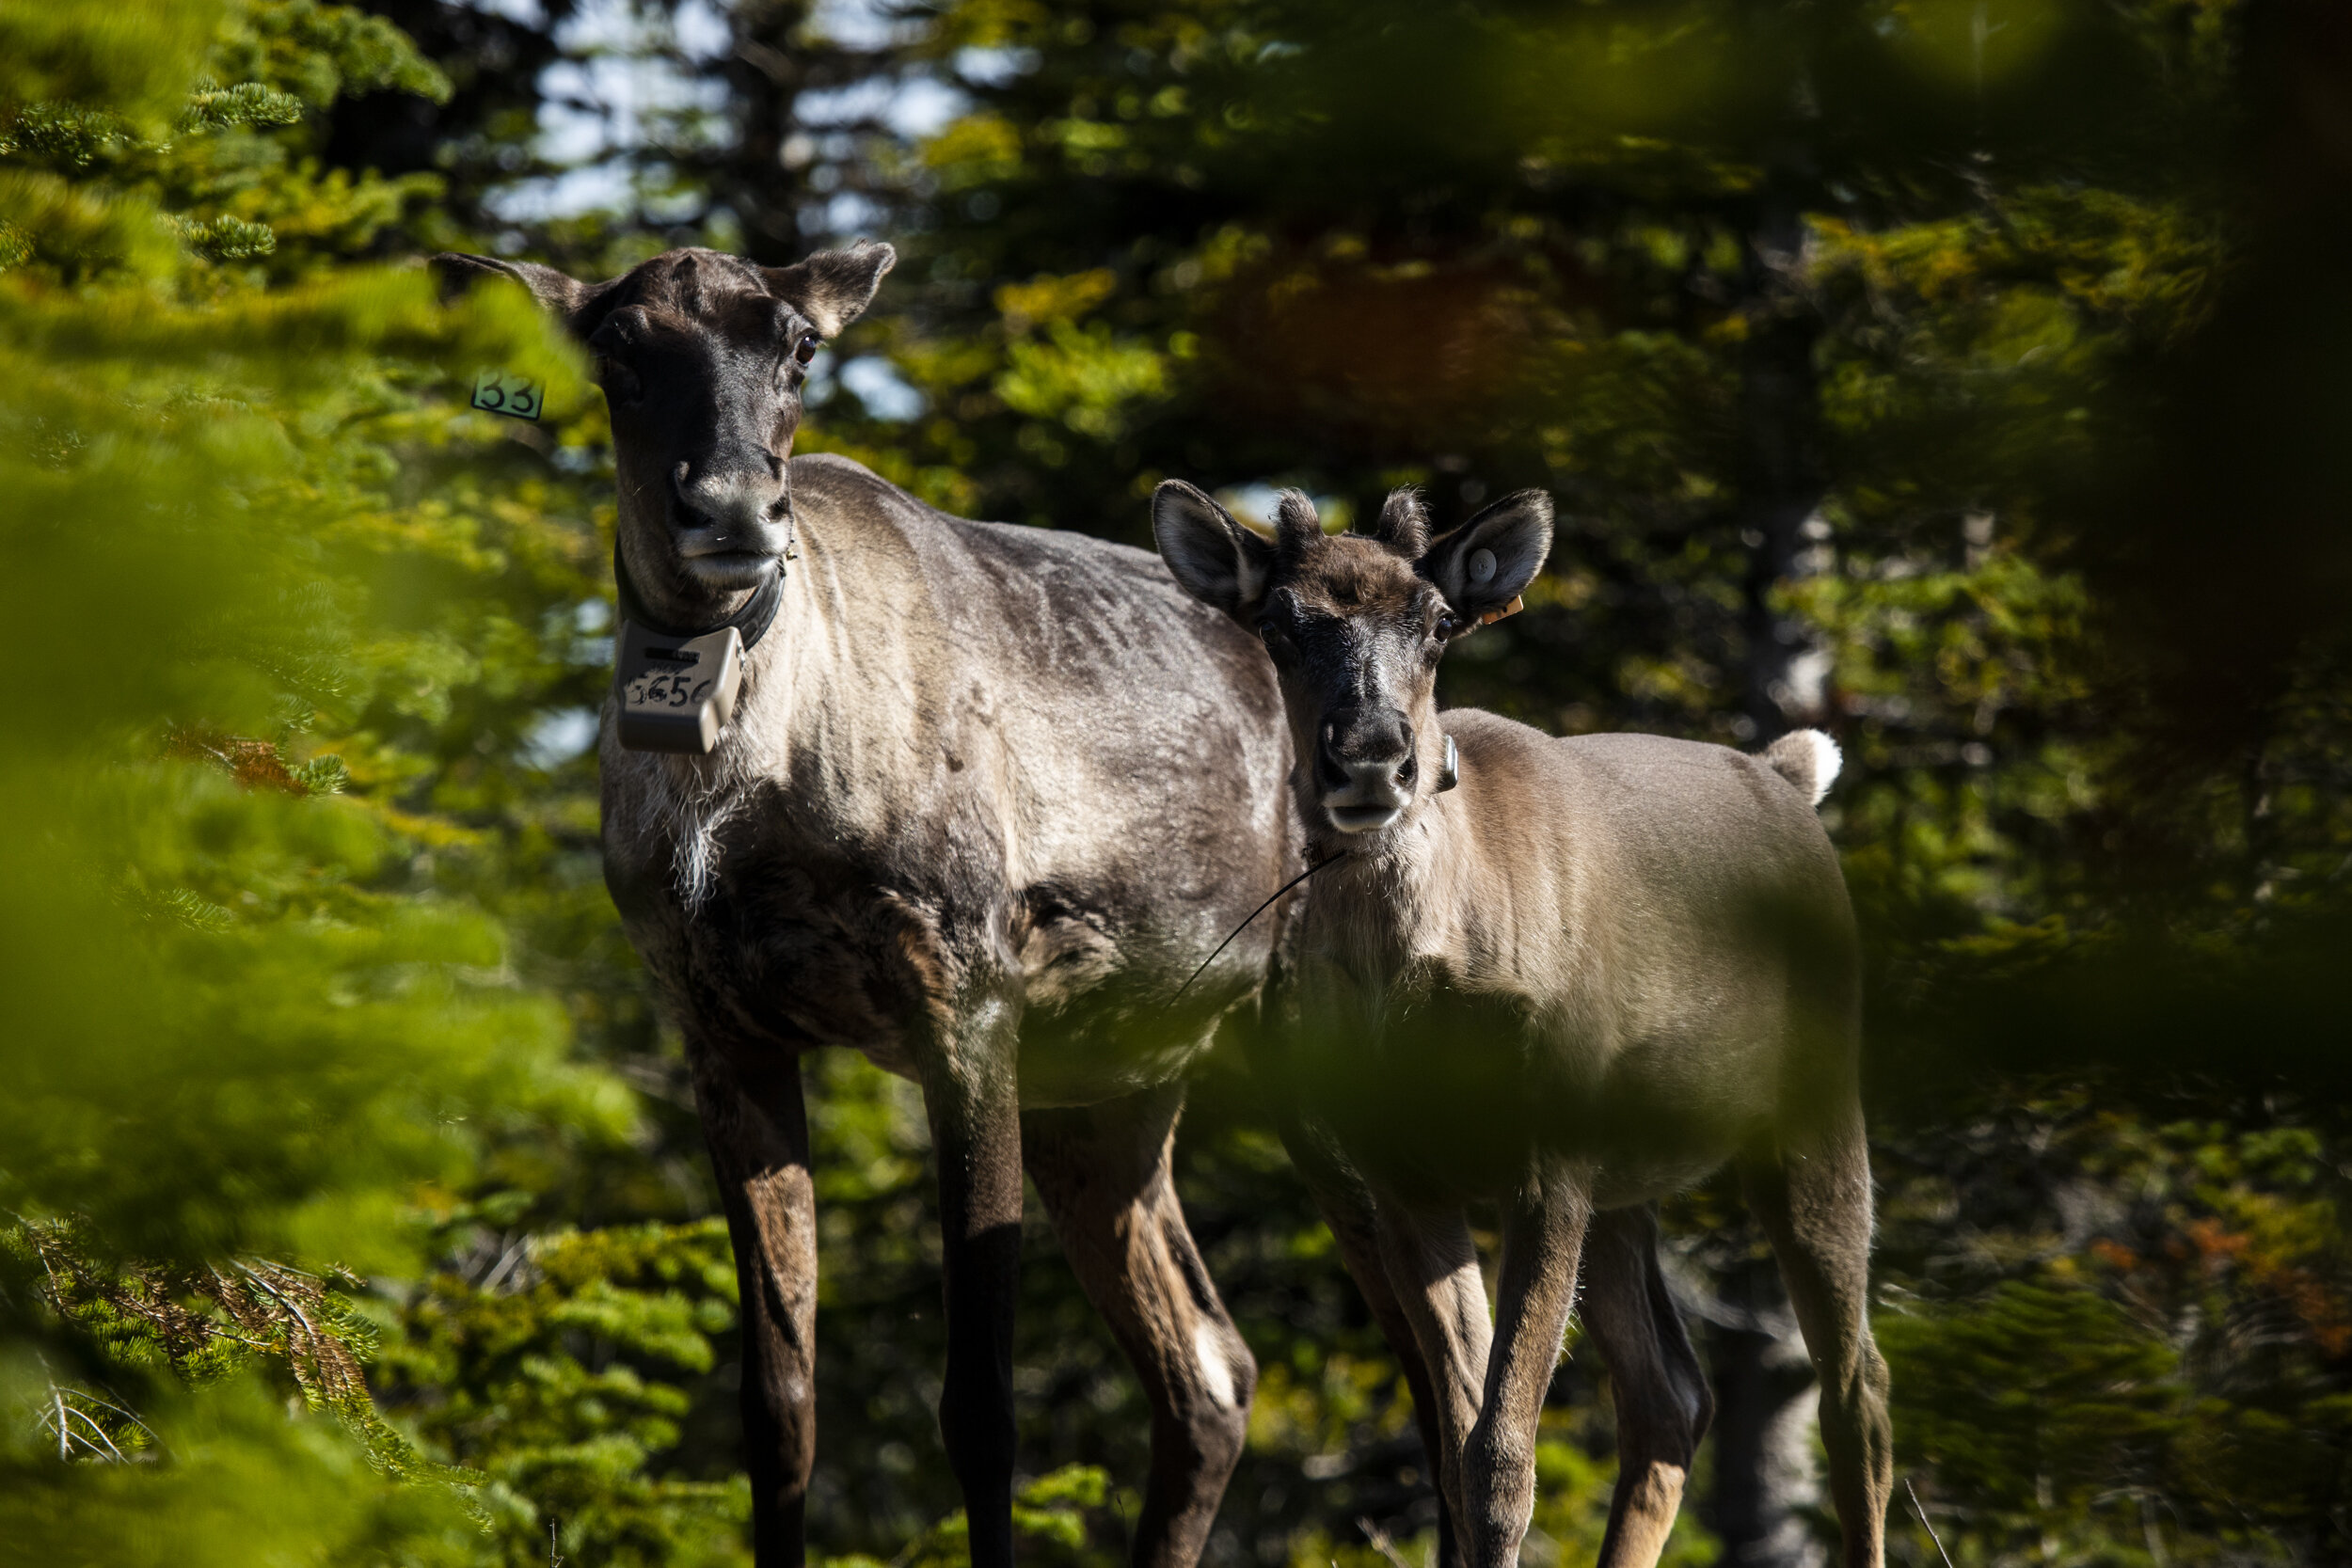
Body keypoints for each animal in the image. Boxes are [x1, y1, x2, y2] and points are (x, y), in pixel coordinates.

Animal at [1152, 483, 1891, 1560]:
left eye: (1435, 620)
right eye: (1279, 624)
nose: (1371, 756)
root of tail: (1789, 774)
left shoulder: (1548, 1153)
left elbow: (1502, 1460)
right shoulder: (1402, 1172)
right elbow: (1461, 1450)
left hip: (1813, 1102)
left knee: (1858, 1392)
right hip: (1629, 1180)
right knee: (1671, 1397)